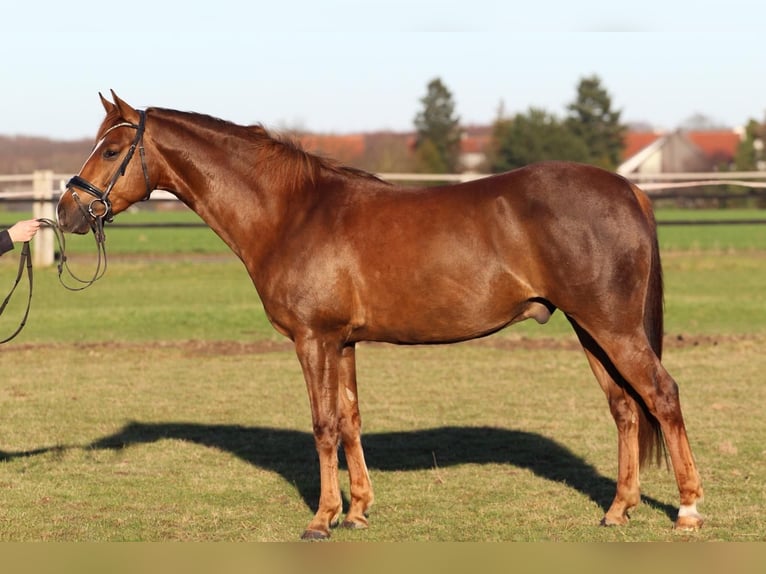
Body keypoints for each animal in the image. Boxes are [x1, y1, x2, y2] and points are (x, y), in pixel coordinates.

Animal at [57, 92, 704, 539]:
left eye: (111, 149)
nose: (67, 211)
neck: (292, 211)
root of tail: (628, 189)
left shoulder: (313, 340)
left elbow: (322, 425)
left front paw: (321, 518)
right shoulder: (343, 342)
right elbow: (350, 420)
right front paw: (359, 511)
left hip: (611, 328)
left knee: (662, 395)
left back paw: (688, 510)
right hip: (590, 330)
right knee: (626, 408)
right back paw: (618, 510)